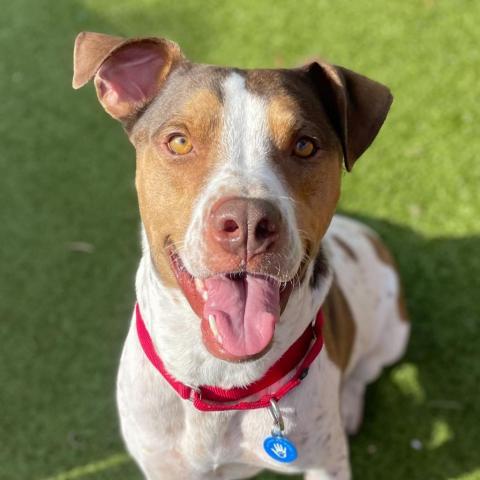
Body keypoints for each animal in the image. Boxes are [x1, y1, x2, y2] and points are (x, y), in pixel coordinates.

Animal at [74, 31, 408, 478]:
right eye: (179, 141)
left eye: (305, 145)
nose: (248, 222)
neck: (223, 384)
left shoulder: (326, 464)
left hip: (393, 335)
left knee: (366, 368)